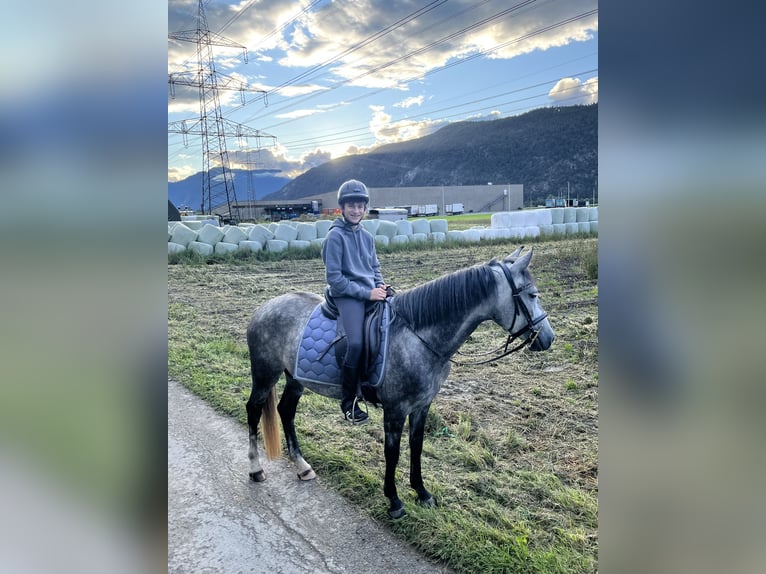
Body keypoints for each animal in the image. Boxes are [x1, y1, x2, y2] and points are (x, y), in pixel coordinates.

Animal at [245, 246, 554, 519]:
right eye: (532, 294)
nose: (548, 338)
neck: (418, 337)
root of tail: (264, 307)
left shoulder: (422, 406)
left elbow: (416, 446)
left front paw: (421, 492)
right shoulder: (395, 410)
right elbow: (392, 453)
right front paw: (394, 500)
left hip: (294, 378)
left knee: (286, 411)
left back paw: (302, 466)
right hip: (265, 374)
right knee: (254, 410)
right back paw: (256, 469)